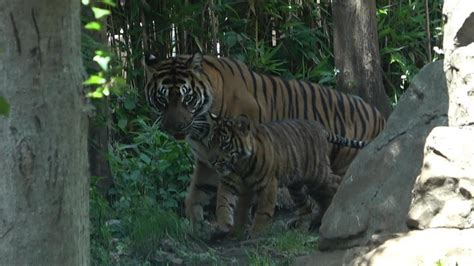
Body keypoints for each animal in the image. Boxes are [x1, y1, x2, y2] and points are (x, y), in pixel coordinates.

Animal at [143, 52, 386, 229]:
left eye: (187, 98)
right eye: (162, 99)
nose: (173, 127)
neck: (203, 125)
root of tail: (379, 115)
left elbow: (228, 193)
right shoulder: (207, 160)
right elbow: (196, 193)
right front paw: (195, 226)